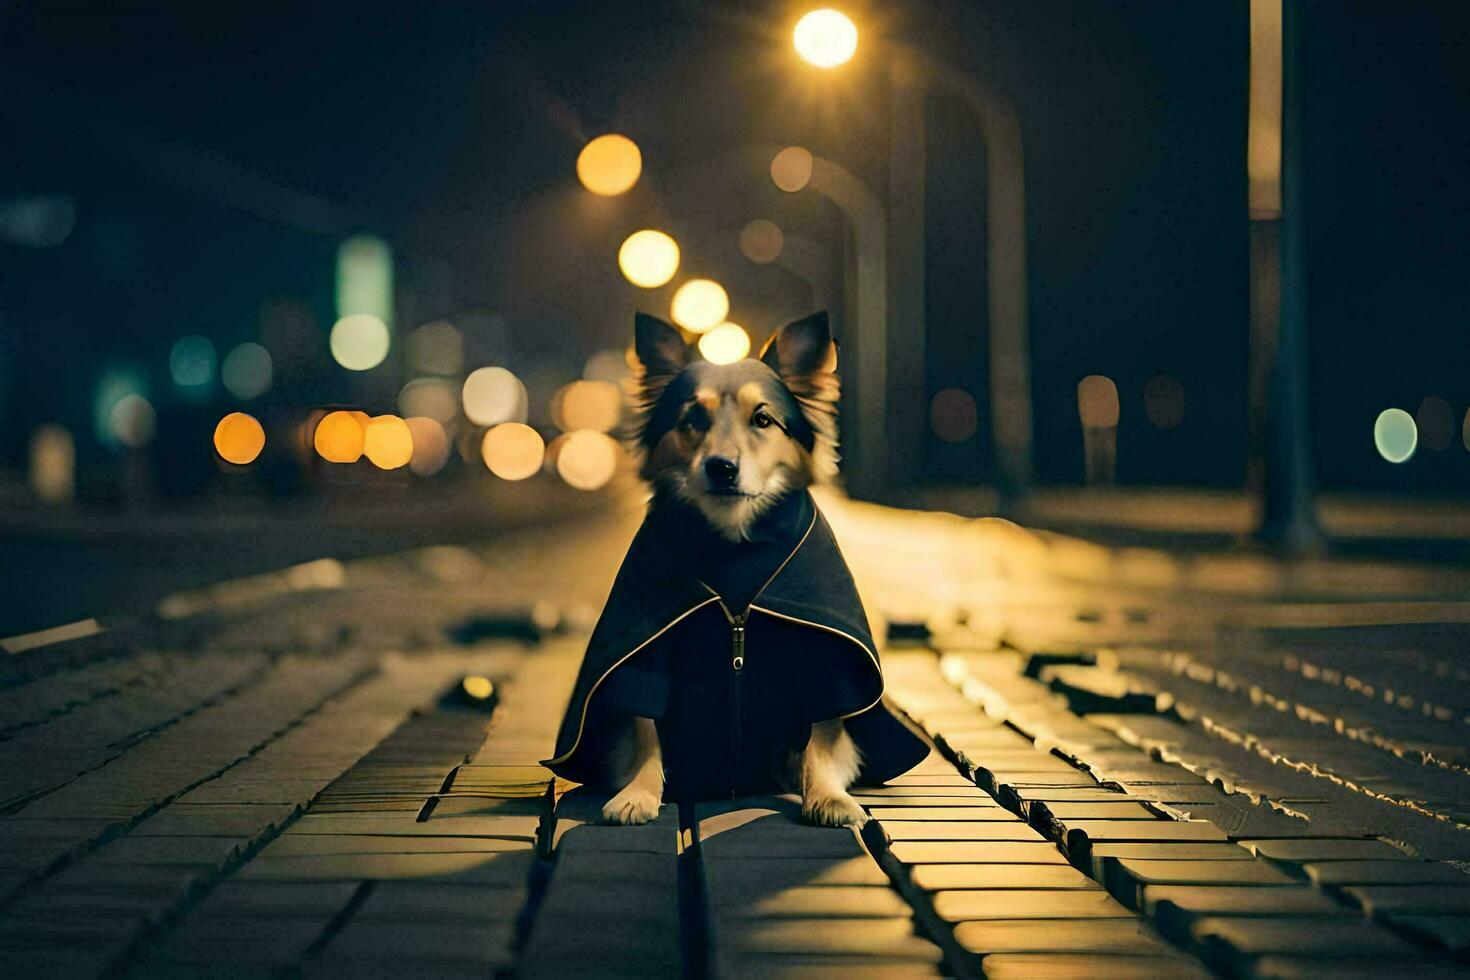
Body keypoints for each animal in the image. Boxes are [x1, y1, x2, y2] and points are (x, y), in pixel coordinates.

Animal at [546, 310, 923, 822]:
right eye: (692, 420)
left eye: (762, 419)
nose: (721, 467)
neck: (734, 542)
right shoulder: (648, 649)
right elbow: (645, 725)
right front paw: (638, 792)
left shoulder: (828, 655)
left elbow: (824, 732)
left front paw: (827, 795)